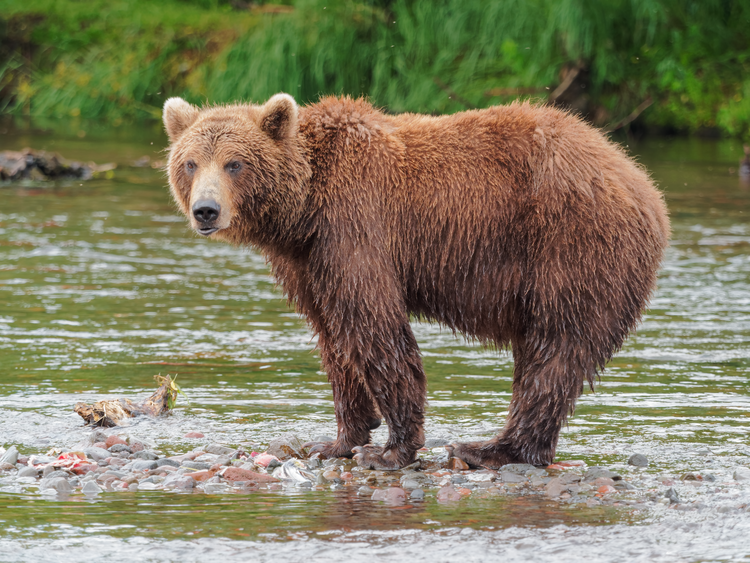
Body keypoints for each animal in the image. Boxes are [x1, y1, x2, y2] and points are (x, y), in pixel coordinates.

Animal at [163, 93, 668, 472]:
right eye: (190, 162)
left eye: (234, 163)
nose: (206, 210)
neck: (303, 210)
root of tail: (643, 184)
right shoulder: (308, 262)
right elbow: (333, 338)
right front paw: (337, 440)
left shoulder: (355, 227)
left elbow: (374, 327)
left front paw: (390, 450)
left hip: (571, 247)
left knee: (555, 350)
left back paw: (490, 449)